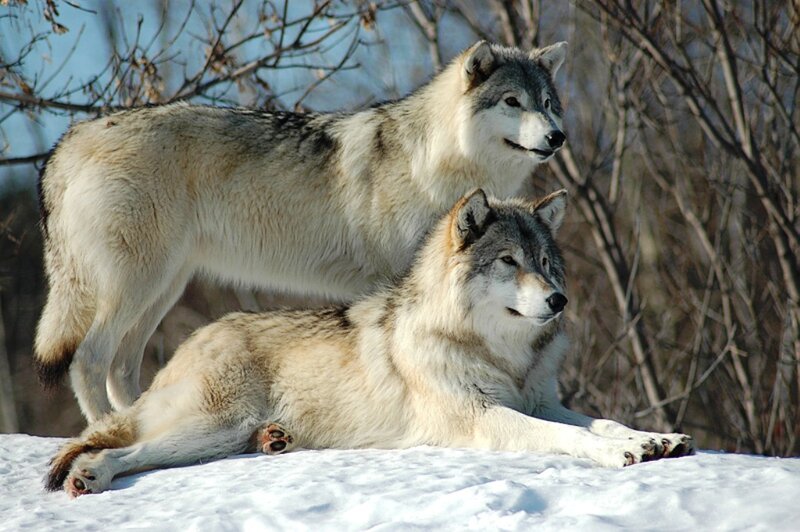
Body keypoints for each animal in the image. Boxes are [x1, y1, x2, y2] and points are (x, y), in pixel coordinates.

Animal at [34, 40, 570, 423]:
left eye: (547, 103)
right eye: (512, 102)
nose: (557, 136)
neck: (436, 162)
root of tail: (69, 140)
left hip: (161, 290)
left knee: (121, 367)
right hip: (136, 286)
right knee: (88, 360)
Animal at [46, 189, 695, 497]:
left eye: (544, 263)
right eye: (508, 262)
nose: (558, 301)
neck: (500, 354)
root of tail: (193, 338)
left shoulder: (541, 401)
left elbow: (599, 421)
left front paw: (654, 439)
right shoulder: (486, 417)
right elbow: (569, 437)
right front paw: (620, 454)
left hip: (218, 435)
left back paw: (274, 442)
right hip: (207, 424)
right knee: (122, 450)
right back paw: (91, 478)